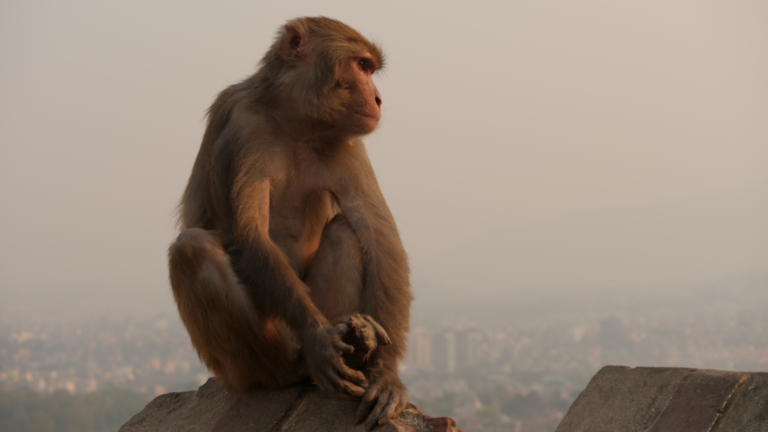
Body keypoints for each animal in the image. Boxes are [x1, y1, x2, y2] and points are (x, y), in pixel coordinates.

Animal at [167, 17, 412, 429]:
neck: (296, 122)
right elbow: (248, 236)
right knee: (192, 249)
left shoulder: (348, 142)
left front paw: (386, 373)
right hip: (242, 363)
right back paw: (299, 365)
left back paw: (358, 342)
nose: (378, 99)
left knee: (346, 230)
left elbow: (378, 236)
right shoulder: (242, 126)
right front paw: (318, 340)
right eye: (361, 66)